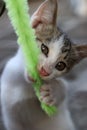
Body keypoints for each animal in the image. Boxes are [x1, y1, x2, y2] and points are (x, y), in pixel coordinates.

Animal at [0, 0, 87, 130]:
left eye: (60, 65)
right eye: (44, 48)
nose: (44, 71)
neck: (27, 88)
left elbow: (64, 89)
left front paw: (54, 92)